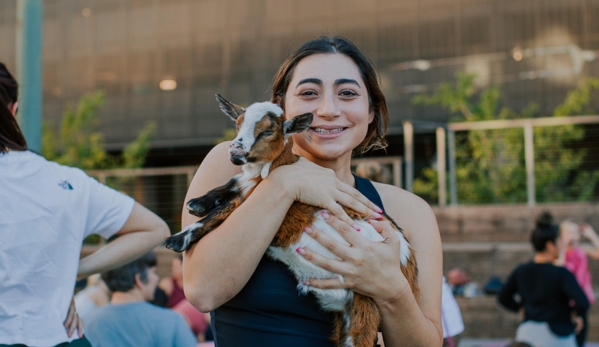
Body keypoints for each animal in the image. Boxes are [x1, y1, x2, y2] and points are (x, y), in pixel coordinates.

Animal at [164, 94, 418, 347]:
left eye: (268, 131)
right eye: (237, 124)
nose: (236, 151)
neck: (274, 167)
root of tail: (409, 271)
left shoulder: (256, 202)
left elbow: (225, 209)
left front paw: (177, 240)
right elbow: (234, 181)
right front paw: (198, 203)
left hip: (366, 301)